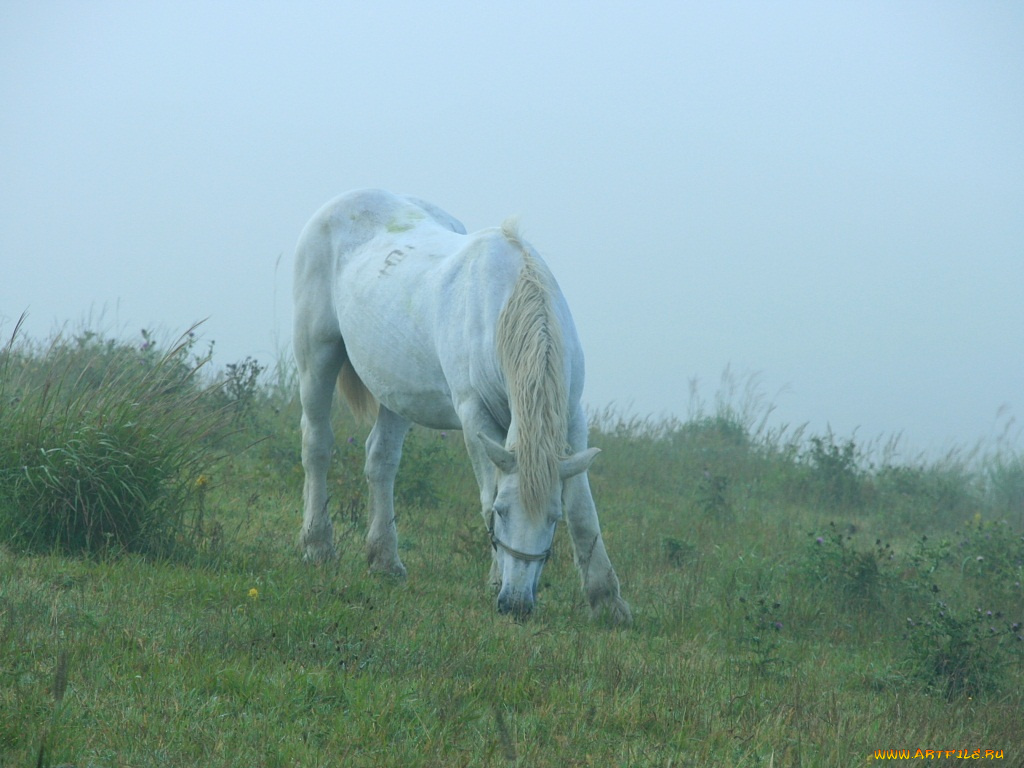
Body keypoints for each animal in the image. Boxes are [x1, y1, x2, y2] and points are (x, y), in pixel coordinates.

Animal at [292, 188, 630, 626]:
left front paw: (606, 600)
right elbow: (487, 493)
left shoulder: (571, 418)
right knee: (317, 445)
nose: (516, 605)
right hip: (316, 355)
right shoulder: (475, 417)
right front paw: (494, 579)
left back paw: (385, 561)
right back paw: (318, 545)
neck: (507, 309)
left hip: (397, 391)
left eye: (553, 519)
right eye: (503, 513)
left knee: (380, 461)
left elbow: (584, 512)